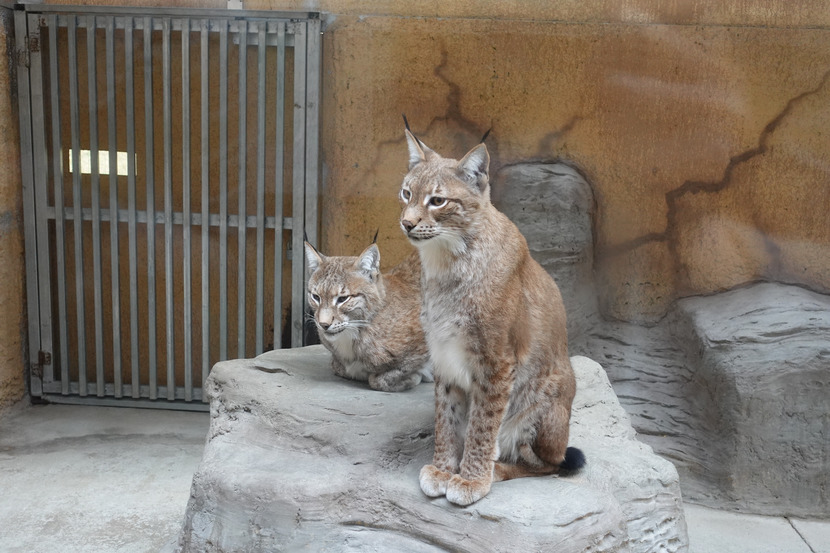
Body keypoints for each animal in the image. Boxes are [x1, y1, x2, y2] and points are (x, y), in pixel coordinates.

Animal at [304, 240, 432, 392]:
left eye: (343, 299)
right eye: (316, 297)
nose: (323, 324)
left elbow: (379, 379)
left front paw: (414, 377)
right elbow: (339, 366)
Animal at [399, 125, 585, 506]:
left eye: (437, 201)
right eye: (407, 193)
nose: (406, 224)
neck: (446, 261)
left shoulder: (497, 360)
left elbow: (483, 423)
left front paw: (471, 479)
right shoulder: (443, 353)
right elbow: (447, 417)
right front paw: (443, 469)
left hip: (547, 391)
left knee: (550, 464)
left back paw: (497, 468)